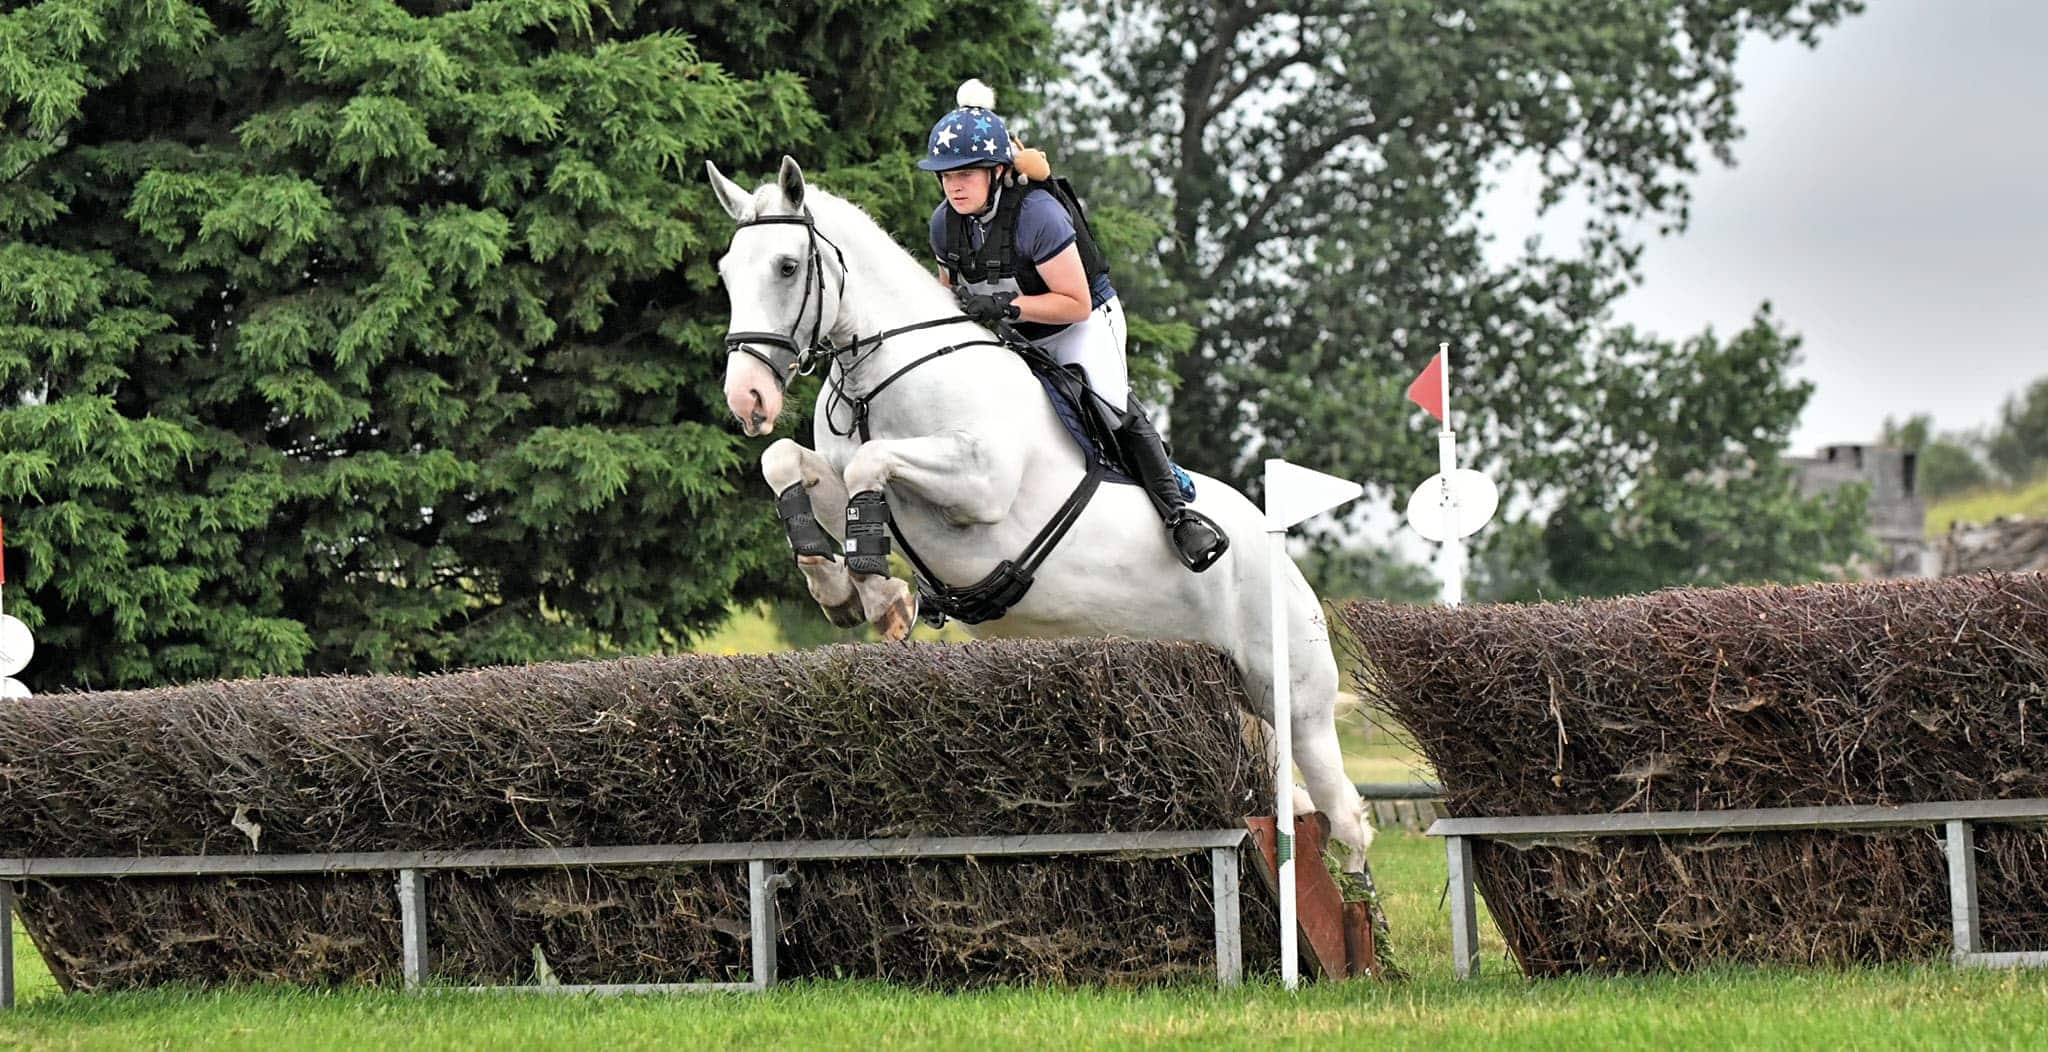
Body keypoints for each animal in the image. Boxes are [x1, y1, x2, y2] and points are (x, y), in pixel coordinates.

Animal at [706, 157, 1371, 868]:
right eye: (726, 271)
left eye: (786, 267)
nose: (747, 398)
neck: (881, 376)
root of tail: (1281, 554)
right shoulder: (845, 474)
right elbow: (786, 461)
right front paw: (840, 587)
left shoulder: (980, 485)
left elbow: (870, 463)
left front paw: (883, 598)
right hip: (1240, 701)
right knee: (1294, 803)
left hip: (1296, 697)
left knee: (1345, 815)